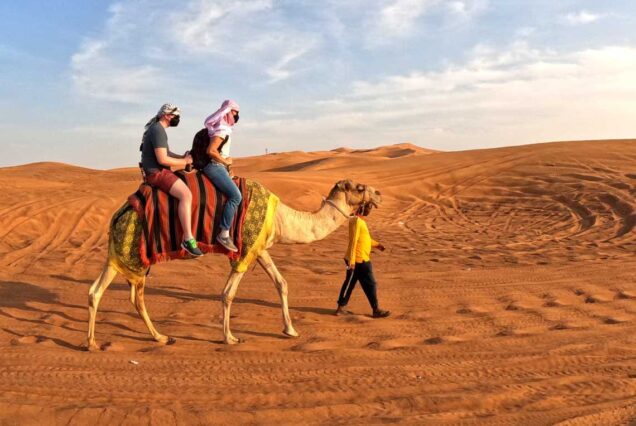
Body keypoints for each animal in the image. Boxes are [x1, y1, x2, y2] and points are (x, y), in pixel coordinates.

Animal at [86, 178, 381, 349]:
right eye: (359, 188)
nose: (378, 194)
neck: (282, 218)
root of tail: (117, 215)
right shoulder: (244, 248)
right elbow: (228, 293)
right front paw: (229, 337)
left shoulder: (259, 248)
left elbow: (281, 283)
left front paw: (291, 330)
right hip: (130, 251)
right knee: (116, 294)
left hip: (123, 255)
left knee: (111, 293)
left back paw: (144, 338)